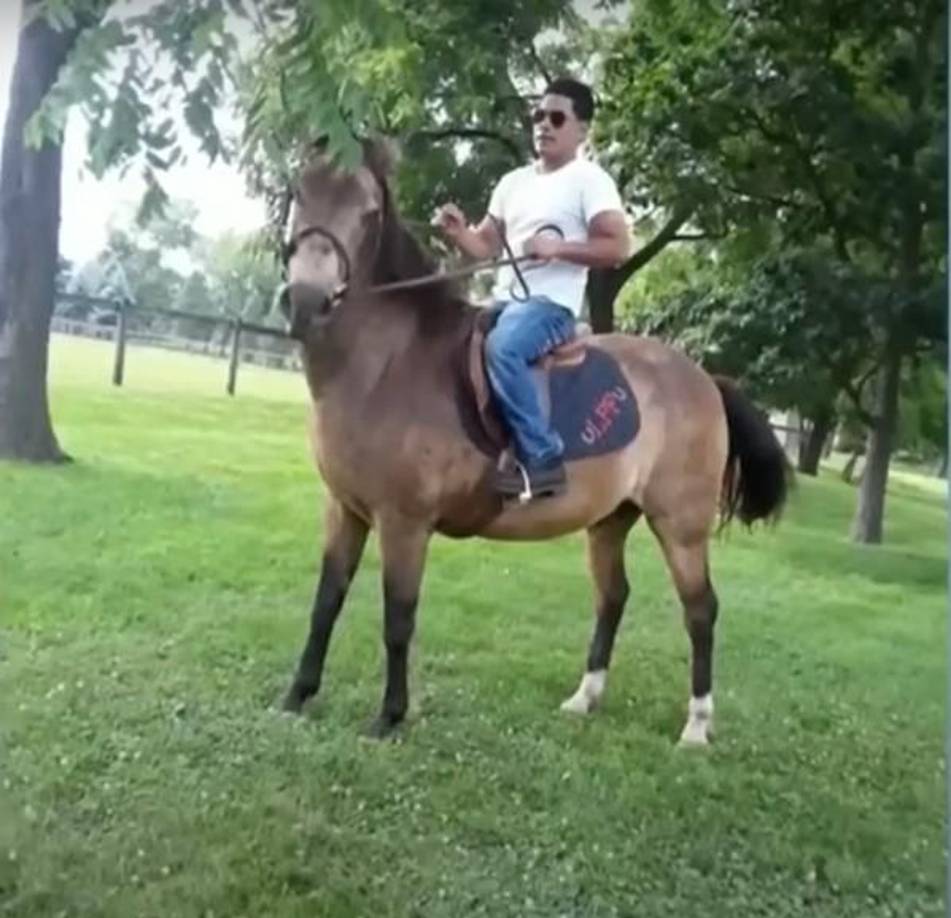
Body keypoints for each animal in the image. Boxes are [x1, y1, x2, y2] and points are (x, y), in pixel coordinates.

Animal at [278, 139, 790, 744]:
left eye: (370, 212)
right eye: (299, 191)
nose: (306, 301)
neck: (389, 364)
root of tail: (706, 379)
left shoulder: (405, 522)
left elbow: (398, 617)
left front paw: (389, 716)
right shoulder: (345, 509)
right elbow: (326, 603)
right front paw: (297, 695)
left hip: (681, 526)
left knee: (701, 610)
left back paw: (696, 725)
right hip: (610, 520)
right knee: (613, 597)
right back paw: (585, 698)